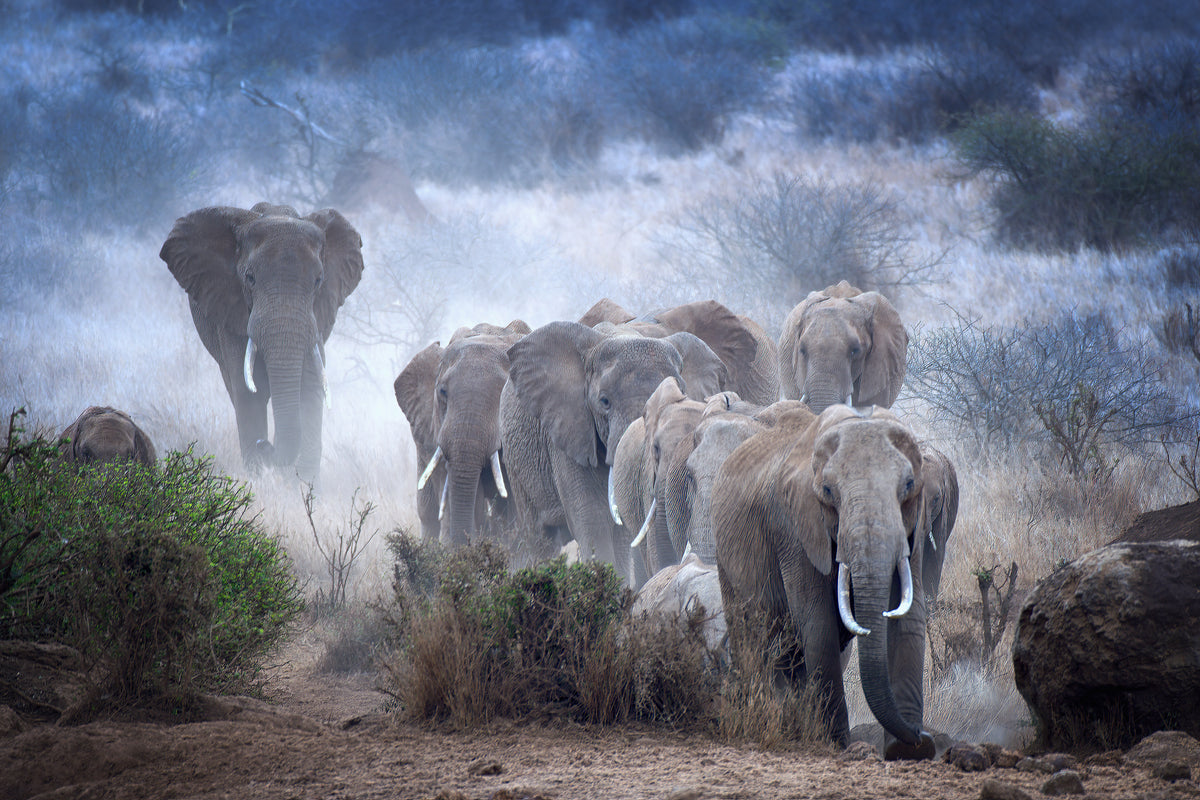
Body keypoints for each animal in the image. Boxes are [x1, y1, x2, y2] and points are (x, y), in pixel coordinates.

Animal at [160, 202, 364, 483]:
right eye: (250, 278)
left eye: (318, 281)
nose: (264, 445)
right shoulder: (230, 313)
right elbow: (248, 395)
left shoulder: (317, 323)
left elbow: (310, 387)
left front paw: (304, 487)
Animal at [500, 320, 729, 586]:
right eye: (604, 401)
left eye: (682, 394)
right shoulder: (568, 430)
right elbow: (592, 518)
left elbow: (618, 528)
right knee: (539, 536)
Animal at [714, 404, 958, 759]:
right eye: (828, 492)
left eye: (909, 484)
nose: (922, 735)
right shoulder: (795, 529)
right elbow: (818, 623)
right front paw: (838, 744)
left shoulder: (915, 524)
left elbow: (908, 618)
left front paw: (907, 750)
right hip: (724, 558)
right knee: (755, 639)